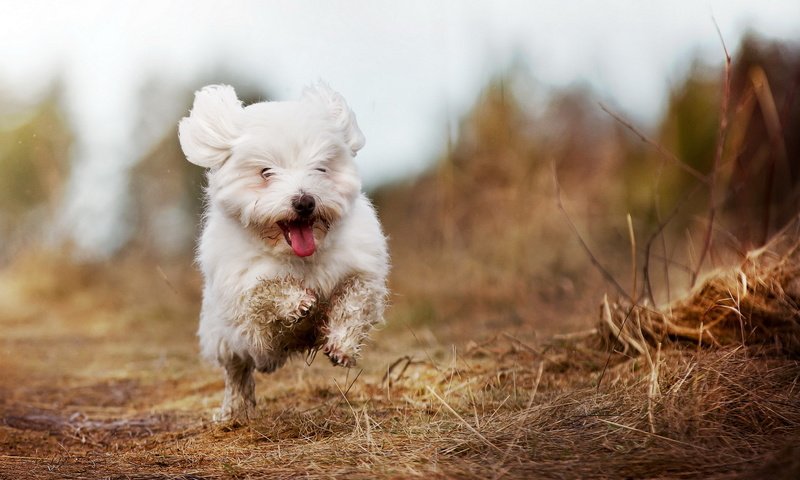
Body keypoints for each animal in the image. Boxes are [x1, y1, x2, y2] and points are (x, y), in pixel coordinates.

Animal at [182, 84, 394, 422]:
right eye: (266, 172)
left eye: (320, 168)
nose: (304, 201)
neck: (299, 257)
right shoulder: (243, 289)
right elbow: (264, 292)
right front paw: (297, 303)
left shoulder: (361, 270)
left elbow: (353, 303)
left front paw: (342, 345)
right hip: (223, 339)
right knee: (237, 373)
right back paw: (234, 411)